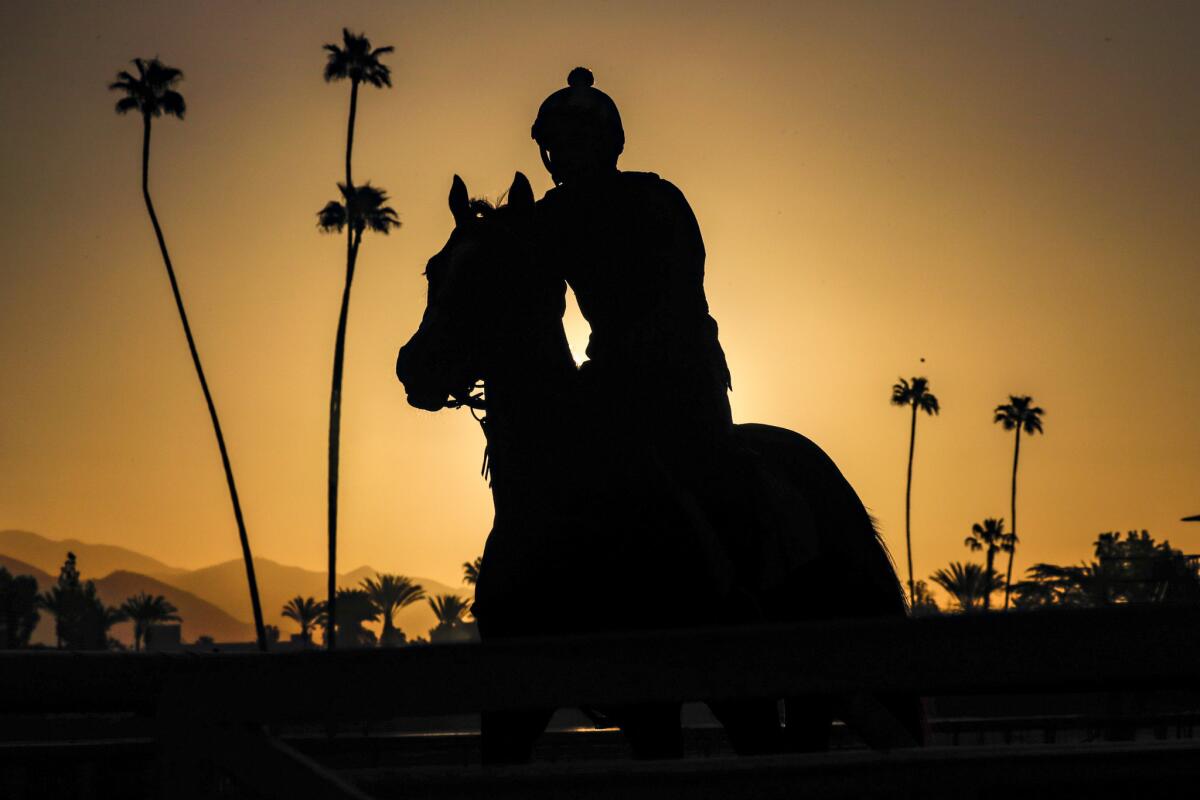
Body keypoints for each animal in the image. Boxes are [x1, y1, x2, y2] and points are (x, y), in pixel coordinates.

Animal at [393, 172, 916, 762]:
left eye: (503, 269)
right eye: (434, 268)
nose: (416, 366)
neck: (567, 502)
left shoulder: (656, 705)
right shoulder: (513, 710)